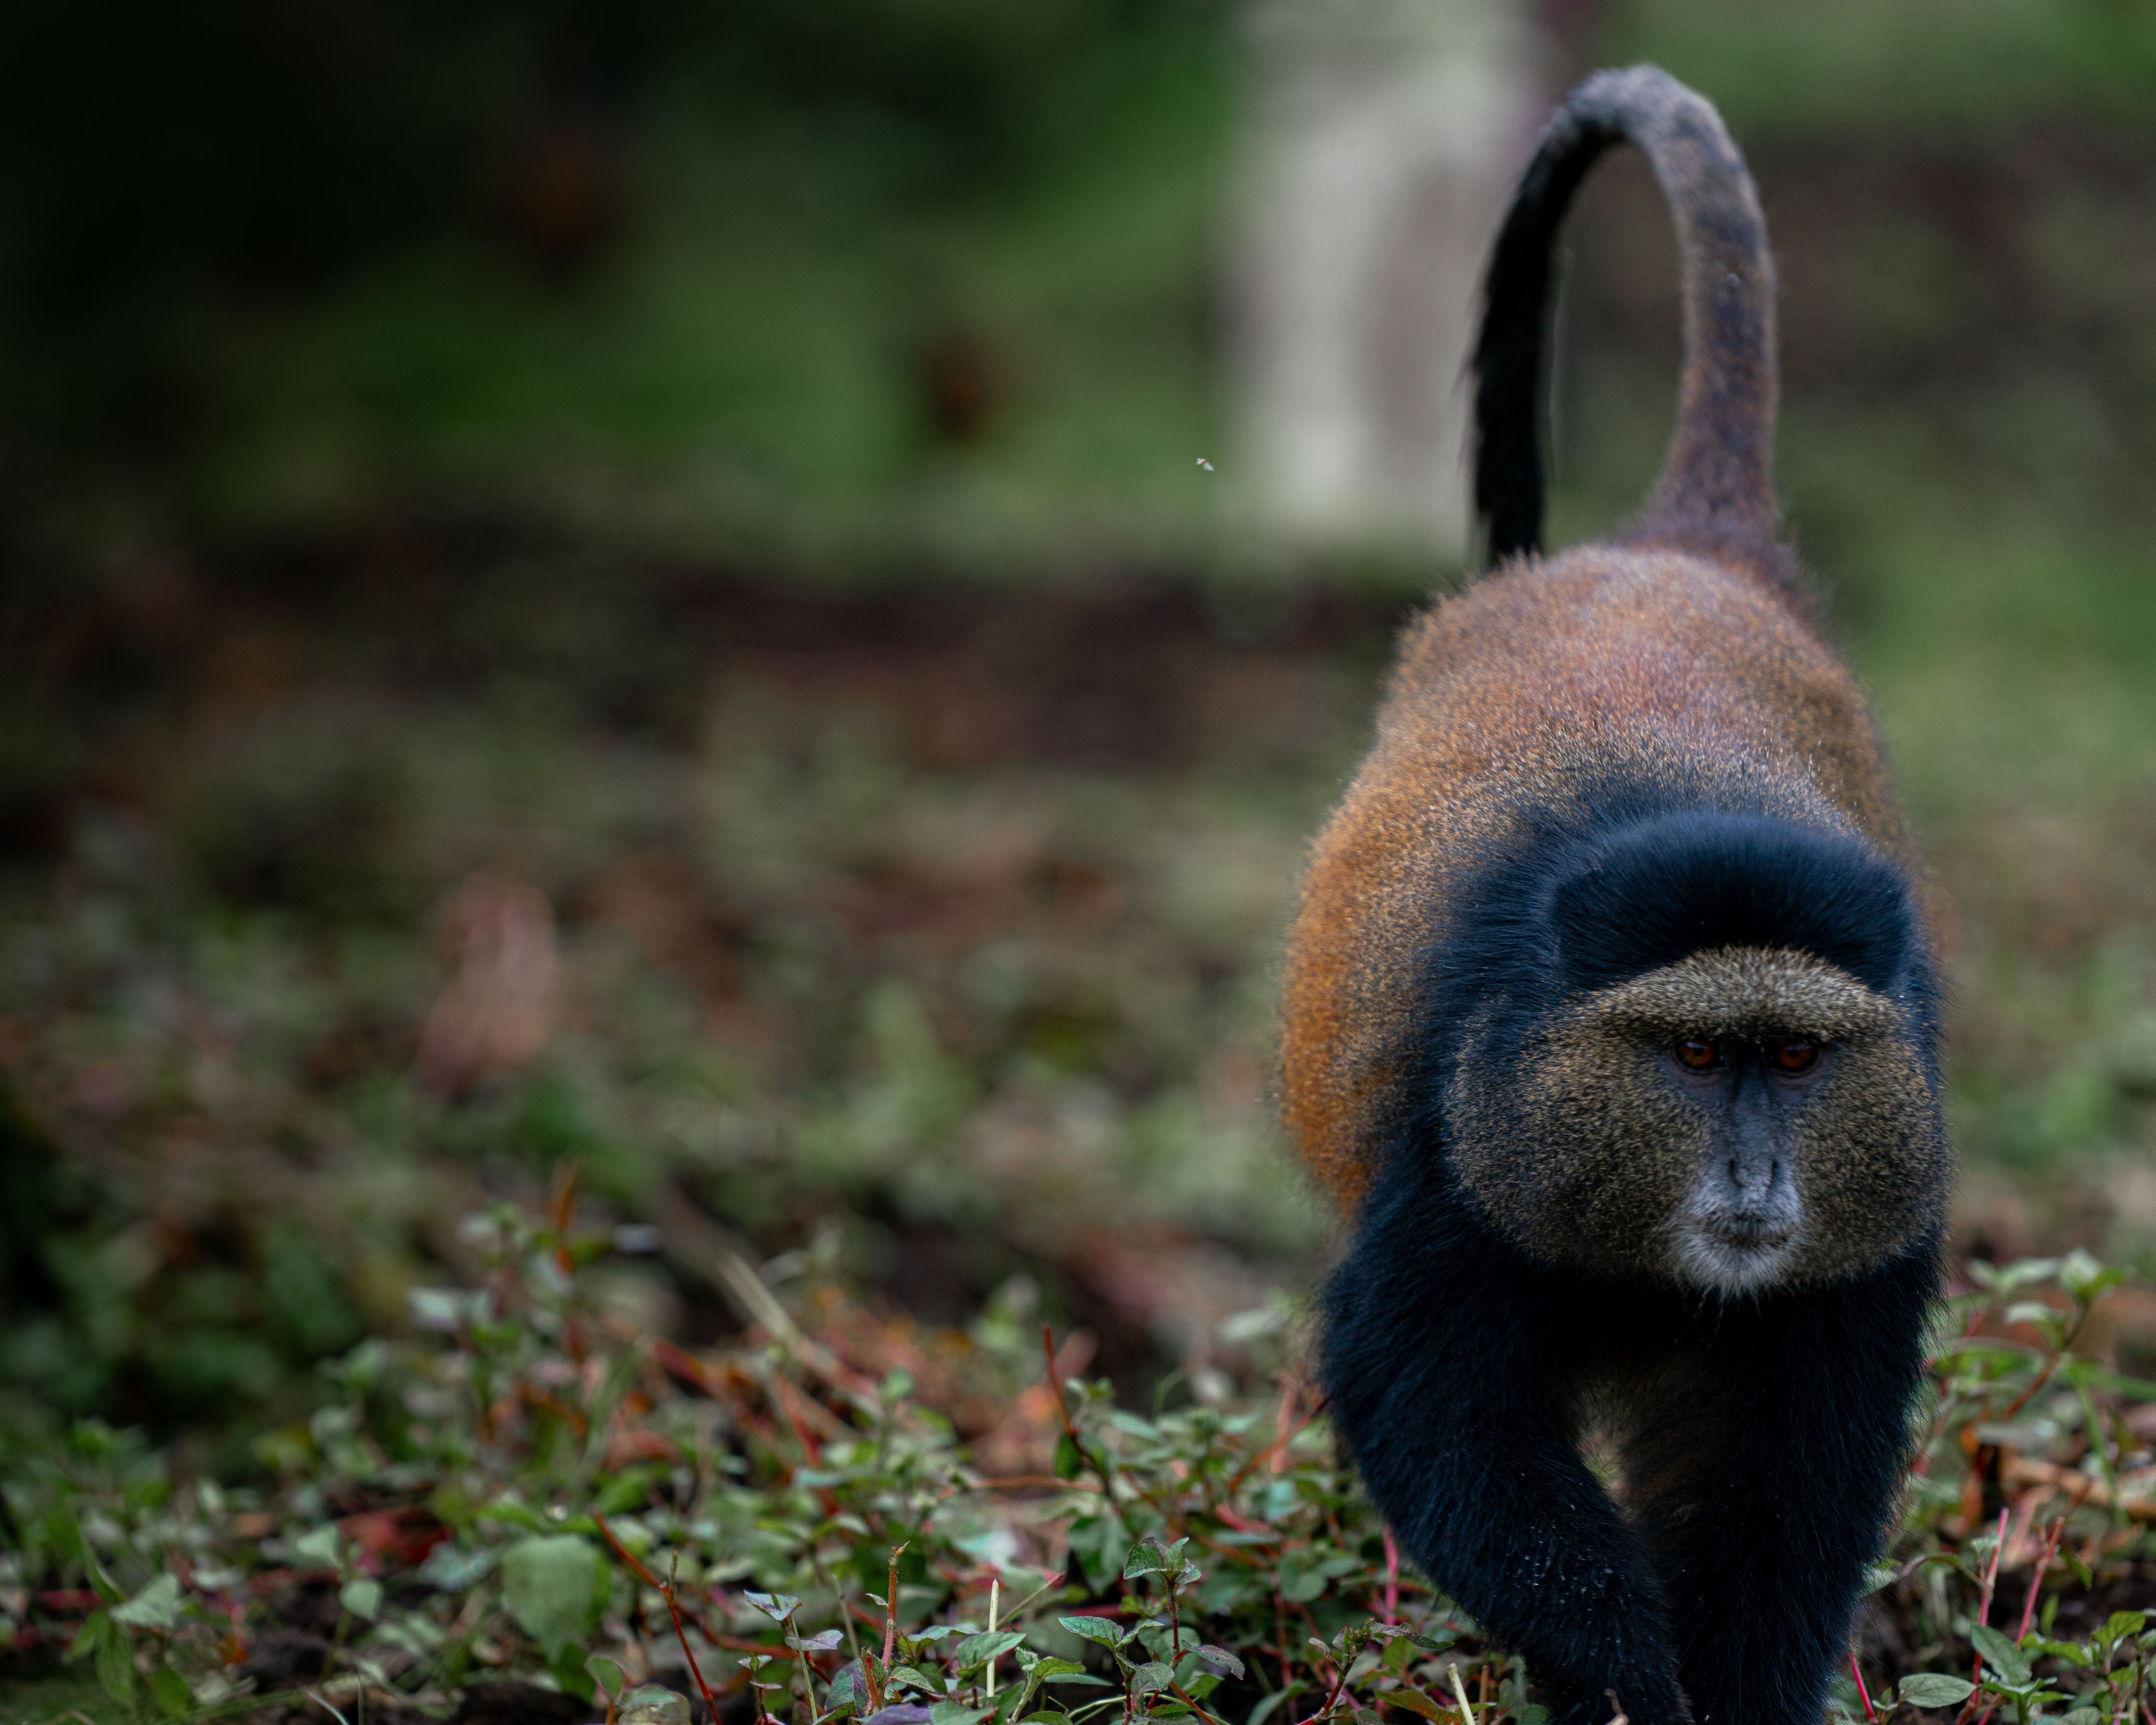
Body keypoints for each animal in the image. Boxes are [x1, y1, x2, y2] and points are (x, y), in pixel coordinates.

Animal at [1277, 66, 1949, 1725]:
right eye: (1699, 1055)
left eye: (1795, 1056)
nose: (1758, 1181)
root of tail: (1679, 544)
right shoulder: (1461, 1150)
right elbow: (1438, 1415)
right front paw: (1627, 1686)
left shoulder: (1869, 1226)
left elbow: (1788, 1487)